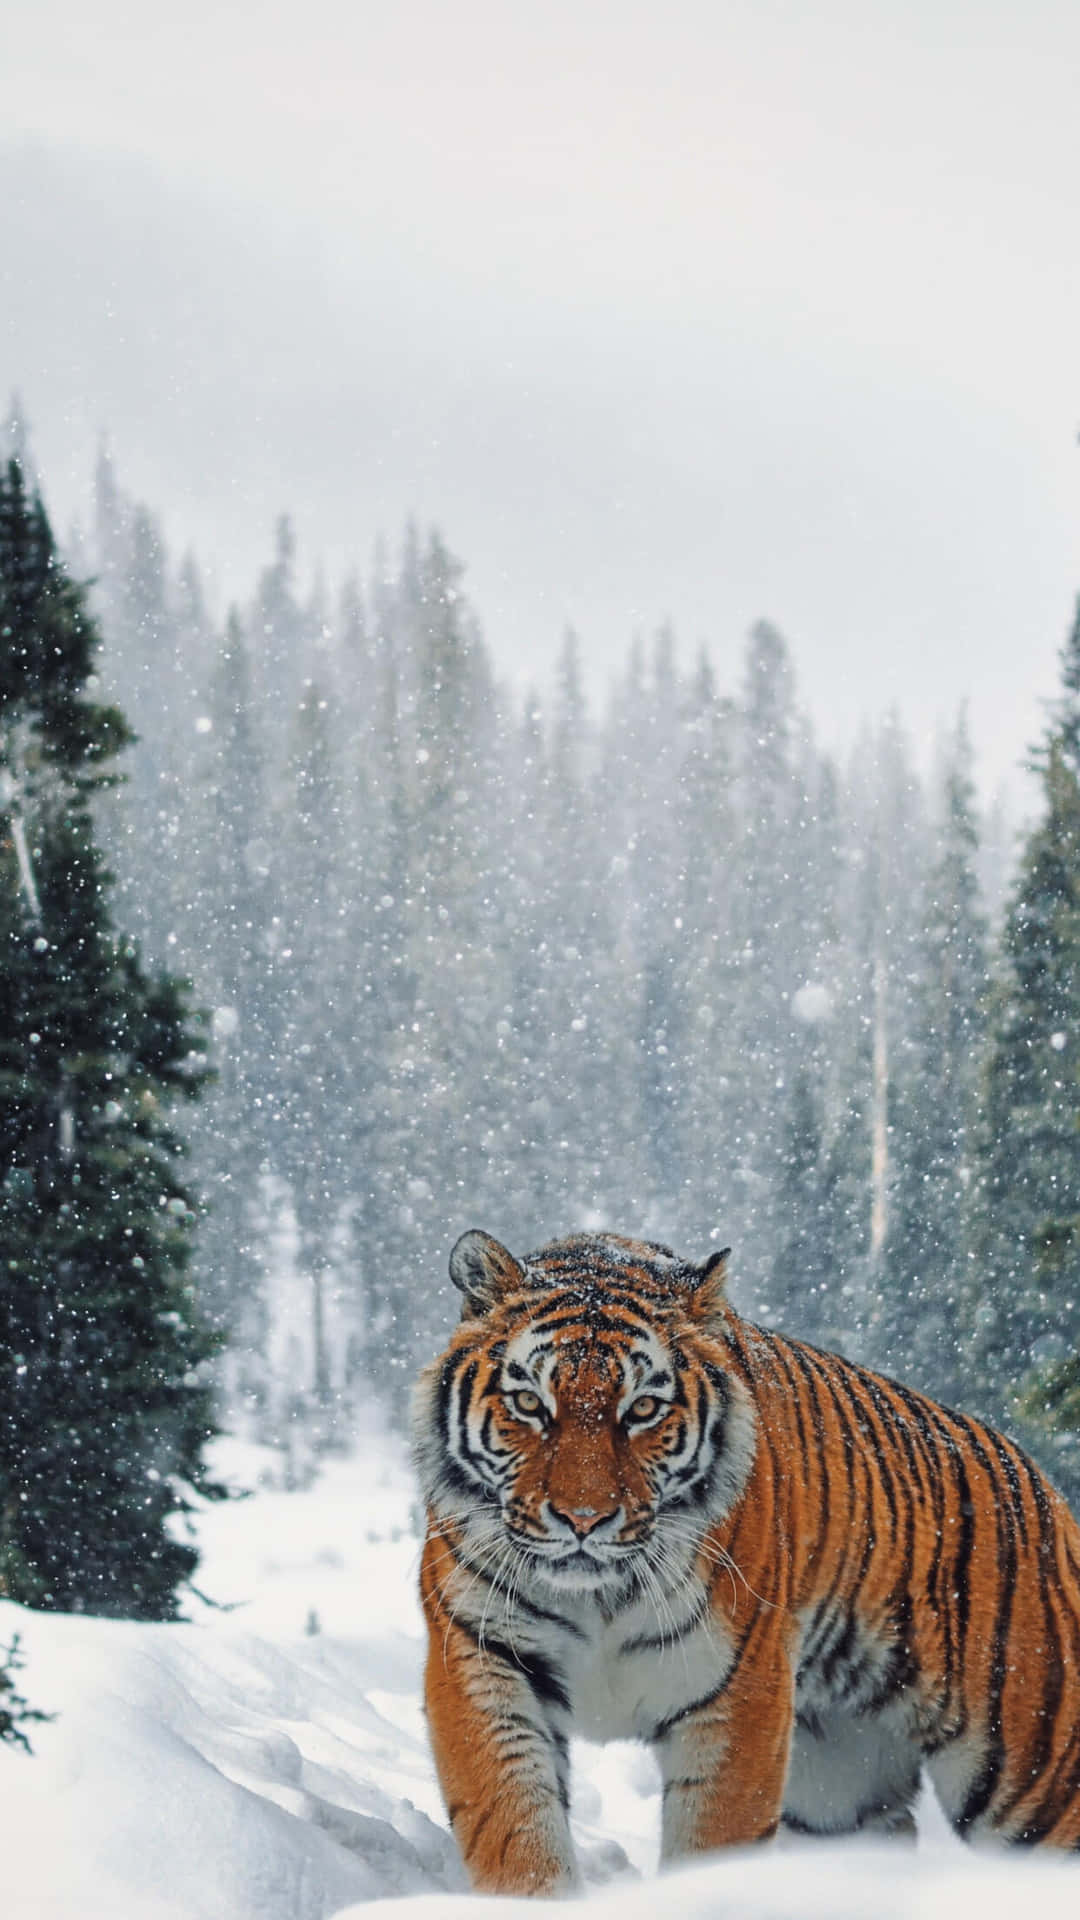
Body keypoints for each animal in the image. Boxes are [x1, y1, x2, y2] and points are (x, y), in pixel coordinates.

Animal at [412, 1227, 1080, 1894]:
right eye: (529, 1402)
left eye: (643, 1410)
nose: (583, 1520)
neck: (599, 1595)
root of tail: (1047, 1488)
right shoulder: (482, 1655)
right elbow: (515, 1824)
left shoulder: (739, 1692)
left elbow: (713, 1839)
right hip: (838, 1788)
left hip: (1033, 1768)